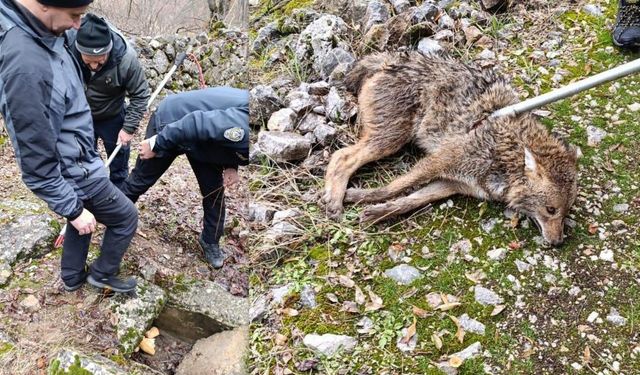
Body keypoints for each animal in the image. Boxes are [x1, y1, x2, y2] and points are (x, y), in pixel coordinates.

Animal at [322, 52, 576, 247]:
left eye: (565, 213)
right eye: (551, 210)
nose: (558, 243)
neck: (505, 153)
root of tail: (390, 60)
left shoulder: (451, 184)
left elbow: (411, 200)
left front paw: (376, 211)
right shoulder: (438, 161)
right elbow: (396, 186)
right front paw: (362, 198)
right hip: (390, 140)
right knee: (341, 156)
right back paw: (334, 201)